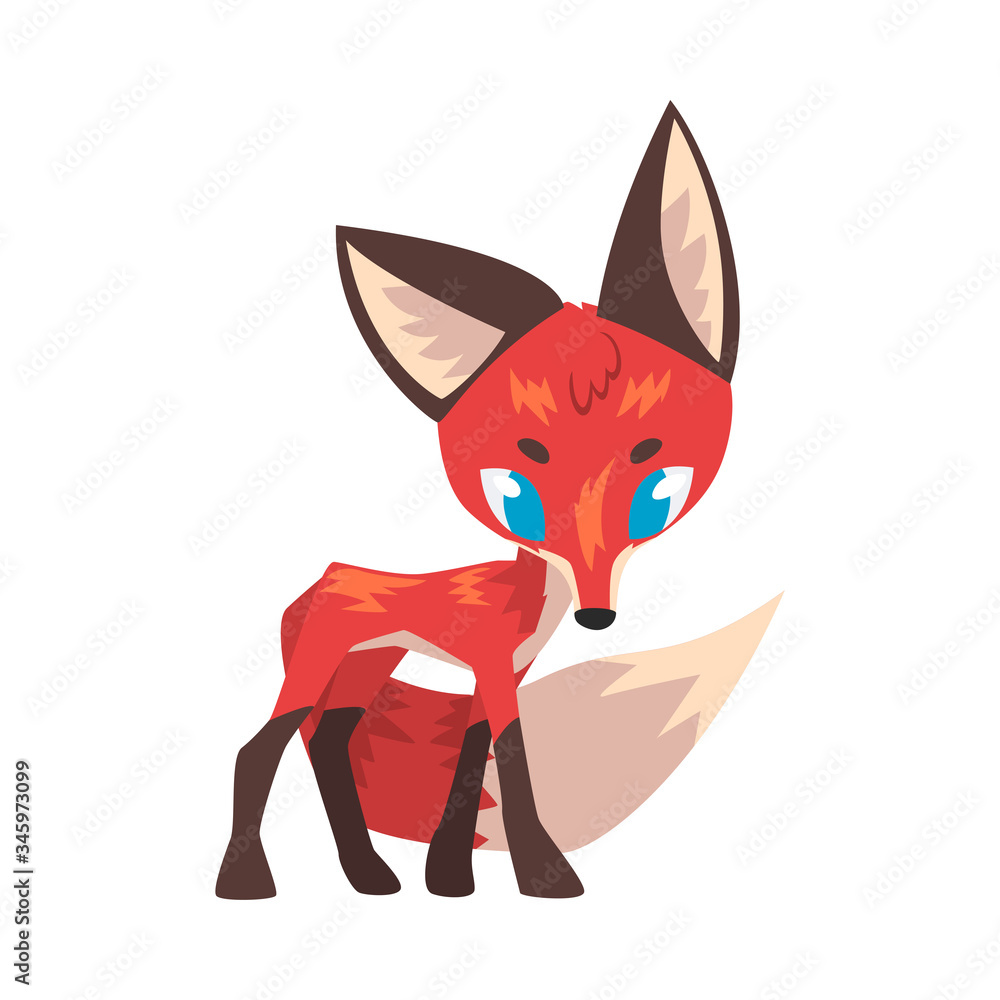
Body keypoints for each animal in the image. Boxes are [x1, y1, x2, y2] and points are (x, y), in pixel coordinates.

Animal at [216, 102, 780, 901]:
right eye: (518, 500)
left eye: (655, 495)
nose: (597, 618)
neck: (526, 599)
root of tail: (322, 578)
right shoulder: (491, 667)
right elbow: (509, 758)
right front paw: (546, 875)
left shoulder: (500, 673)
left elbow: (472, 756)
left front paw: (450, 877)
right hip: (317, 672)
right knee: (256, 747)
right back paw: (245, 879)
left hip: (362, 674)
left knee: (324, 744)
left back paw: (368, 873)